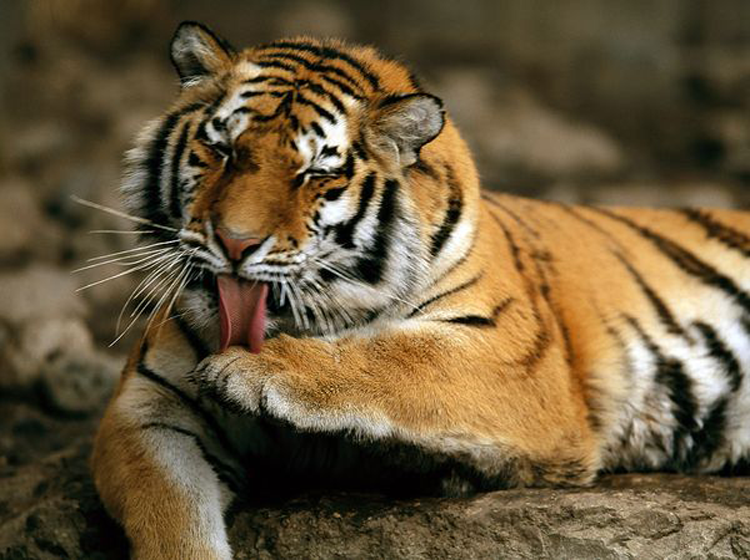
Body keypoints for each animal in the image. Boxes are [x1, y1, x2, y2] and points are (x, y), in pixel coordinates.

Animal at [90, 20, 750, 559]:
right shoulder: (149, 412)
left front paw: (255, 371)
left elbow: (397, 356)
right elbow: (172, 518)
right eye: (222, 149)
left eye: (315, 172)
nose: (234, 242)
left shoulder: (514, 357)